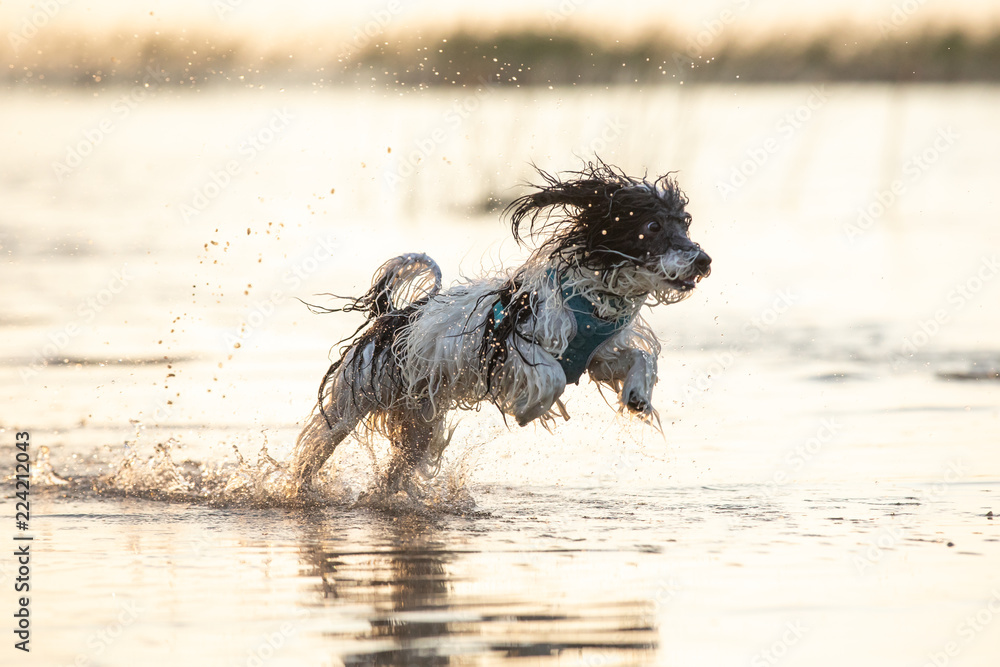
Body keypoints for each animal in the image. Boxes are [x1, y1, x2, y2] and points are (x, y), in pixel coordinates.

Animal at [288, 160, 712, 496]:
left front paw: (638, 394)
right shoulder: (510, 344)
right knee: (315, 448)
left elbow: (638, 357)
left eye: (684, 223)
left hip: (419, 423)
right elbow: (552, 374)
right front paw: (531, 409)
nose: (704, 261)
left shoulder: (598, 353)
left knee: (397, 470)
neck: (590, 295)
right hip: (353, 401)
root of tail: (394, 317)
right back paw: (298, 488)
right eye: (653, 225)